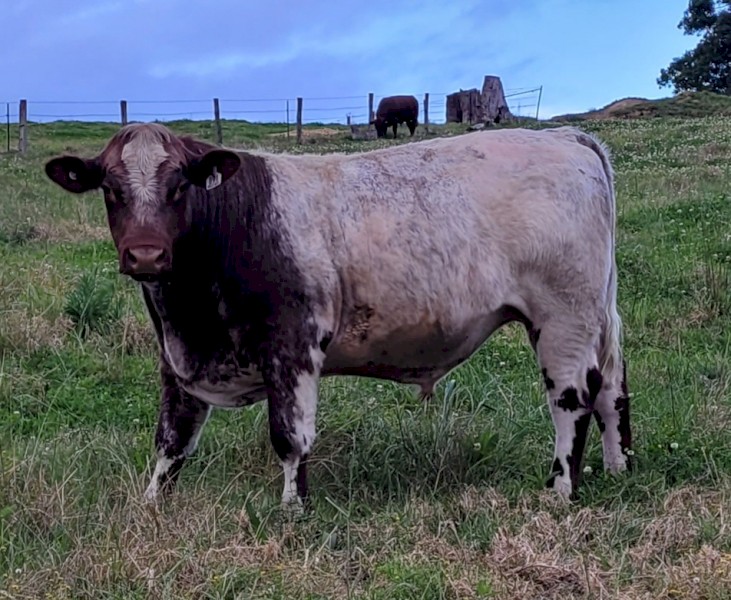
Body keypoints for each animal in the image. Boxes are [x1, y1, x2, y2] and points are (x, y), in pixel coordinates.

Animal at [44, 122, 632, 510]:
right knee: (612, 390)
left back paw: (560, 491)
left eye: (179, 185)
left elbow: (289, 436)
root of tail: (563, 136)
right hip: (598, 317)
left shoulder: (293, 345)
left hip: (563, 318)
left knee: (572, 401)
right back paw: (618, 467)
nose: (145, 254)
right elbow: (171, 438)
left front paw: (292, 512)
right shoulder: (177, 356)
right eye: (111, 189)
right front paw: (151, 507)